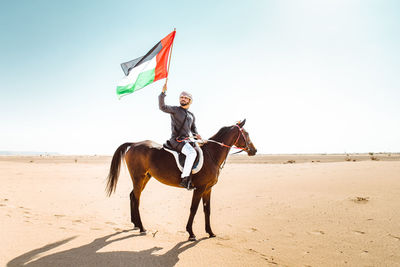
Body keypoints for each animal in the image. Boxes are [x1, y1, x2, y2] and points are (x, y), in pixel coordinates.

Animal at [106, 119, 256, 241]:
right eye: (246, 133)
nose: (254, 150)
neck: (212, 155)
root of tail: (134, 144)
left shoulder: (208, 189)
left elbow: (207, 210)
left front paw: (210, 232)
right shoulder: (200, 188)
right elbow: (193, 209)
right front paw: (191, 233)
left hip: (145, 178)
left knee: (132, 195)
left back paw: (135, 224)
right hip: (138, 178)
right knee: (136, 199)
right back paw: (142, 228)